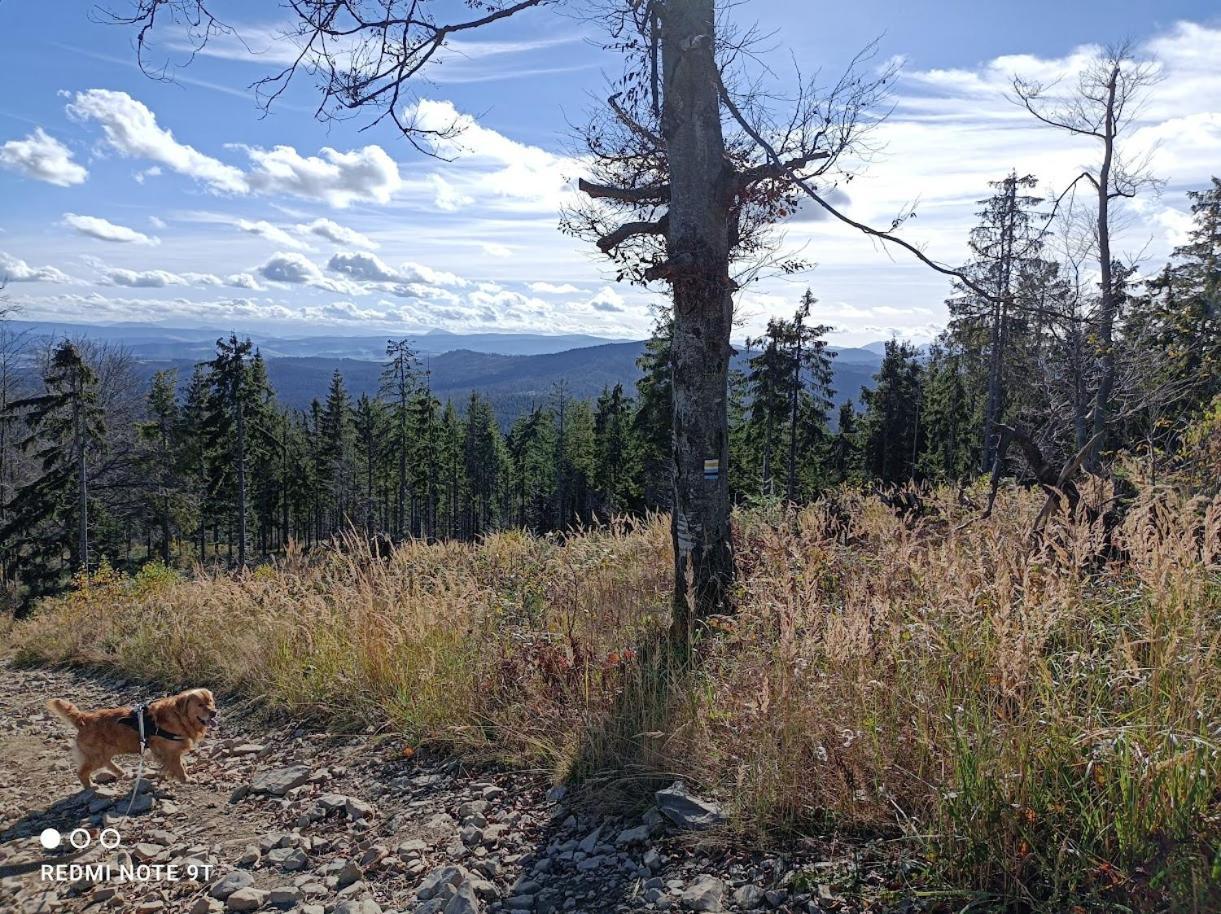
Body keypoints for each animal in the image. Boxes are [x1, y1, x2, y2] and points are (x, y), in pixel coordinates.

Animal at [45, 688, 219, 785]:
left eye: (211, 701)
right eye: (200, 705)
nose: (214, 712)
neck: (179, 716)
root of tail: (84, 718)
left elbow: (170, 765)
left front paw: (166, 773)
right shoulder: (170, 751)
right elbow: (178, 767)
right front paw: (186, 779)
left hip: (103, 753)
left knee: (108, 763)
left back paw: (120, 772)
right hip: (95, 756)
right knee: (82, 773)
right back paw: (91, 787)